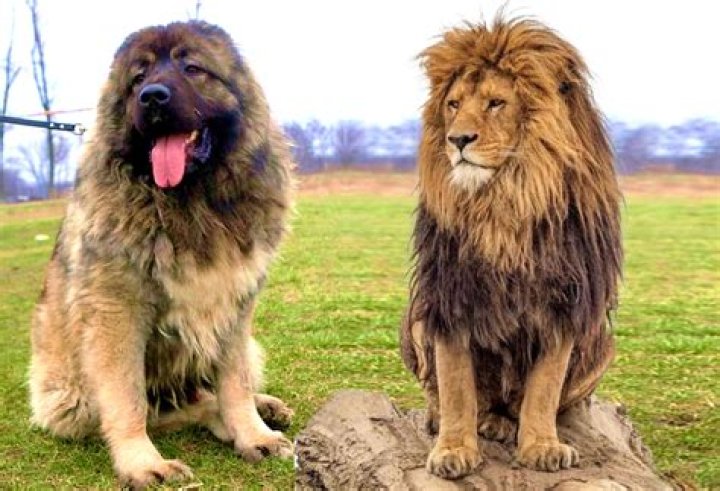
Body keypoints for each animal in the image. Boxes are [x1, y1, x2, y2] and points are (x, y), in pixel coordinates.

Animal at [29, 21, 294, 487]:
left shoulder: (234, 304)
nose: (152, 97)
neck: (188, 202)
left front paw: (253, 432)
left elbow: (235, 382)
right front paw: (142, 463)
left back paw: (264, 407)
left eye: (193, 68)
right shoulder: (116, 313)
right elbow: (128, 398)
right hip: (70, 397)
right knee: (178, 408)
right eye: (137, 79)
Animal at [400, 17, 623, 479]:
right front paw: (452, 448)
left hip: (603, 342)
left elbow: (545, 386)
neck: (505, 202)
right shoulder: (448, 297)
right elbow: (455, 384)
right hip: (413, 316)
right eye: (453, 104)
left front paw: (542, 445)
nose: (458, 139)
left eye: (496, 103)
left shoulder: (565, 303)